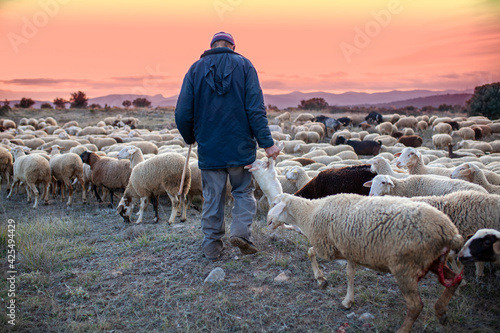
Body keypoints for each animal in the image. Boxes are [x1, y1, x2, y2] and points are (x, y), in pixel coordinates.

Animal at [268, 192, 462, 332]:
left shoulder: (328, 247)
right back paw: (441, 311)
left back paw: (403, 329)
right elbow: (350, 274)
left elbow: (310, 252)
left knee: (416, 305)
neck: (309, 213)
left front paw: (321, 279)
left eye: (274, 204)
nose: (268, 221)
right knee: (455, 280)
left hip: (404, 267)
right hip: (433, 261)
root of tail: (449, 232)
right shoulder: (350, 250)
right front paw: (348, 300)